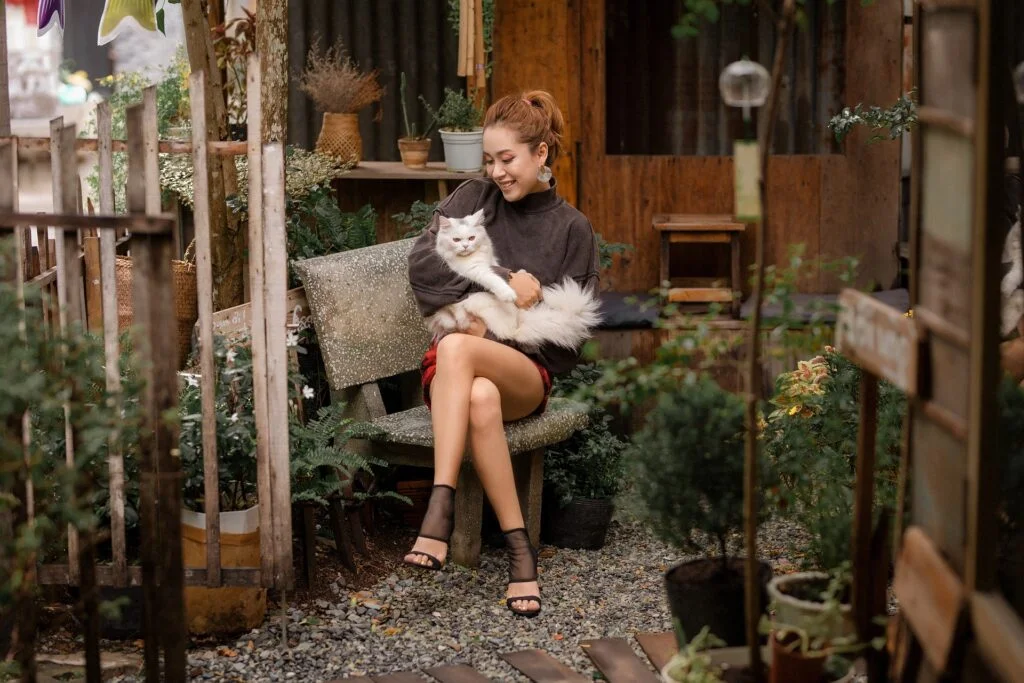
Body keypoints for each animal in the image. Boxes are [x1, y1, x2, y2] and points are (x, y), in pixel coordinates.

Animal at [427, 209, 602, 351]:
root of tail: (520, 324)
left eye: (471, 238)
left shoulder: (490, 261)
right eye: (456, 240)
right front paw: (509, 294)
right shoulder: (475, 270)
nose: (465, 246)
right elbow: (495, 279)